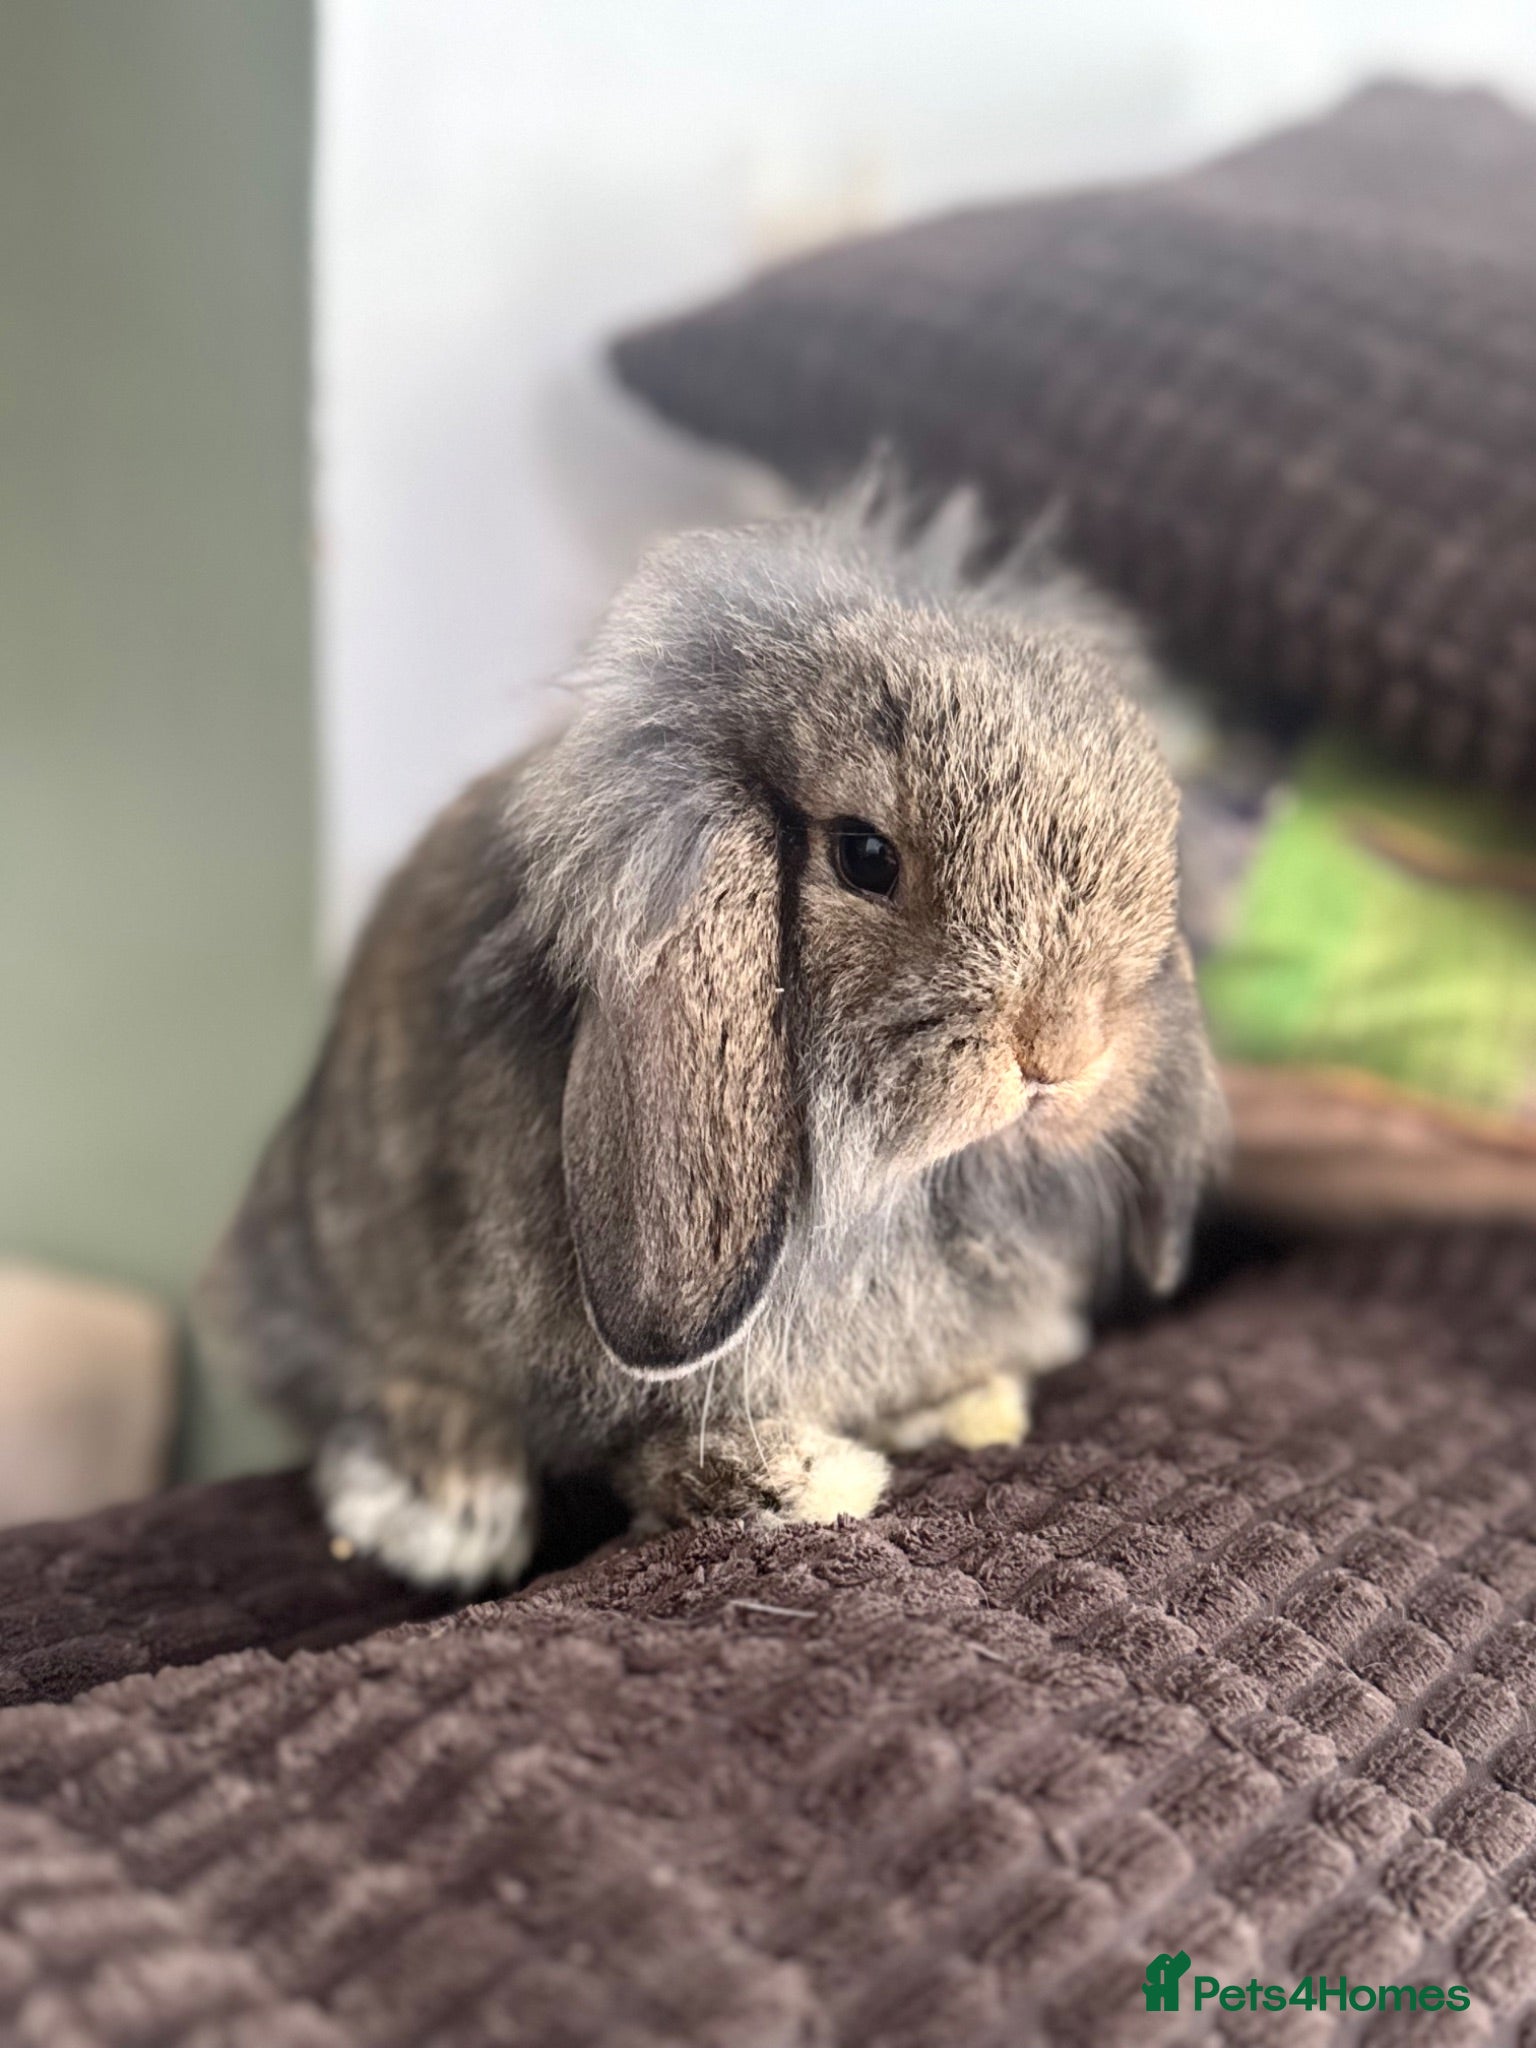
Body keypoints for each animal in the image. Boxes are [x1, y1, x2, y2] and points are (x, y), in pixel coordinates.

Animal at [195, 500, 1227, 1591]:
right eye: (865, 855)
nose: (1065, 1051)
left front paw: (971, 1403)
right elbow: (657, 1457)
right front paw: (806, 1477)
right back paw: (450, 1504)